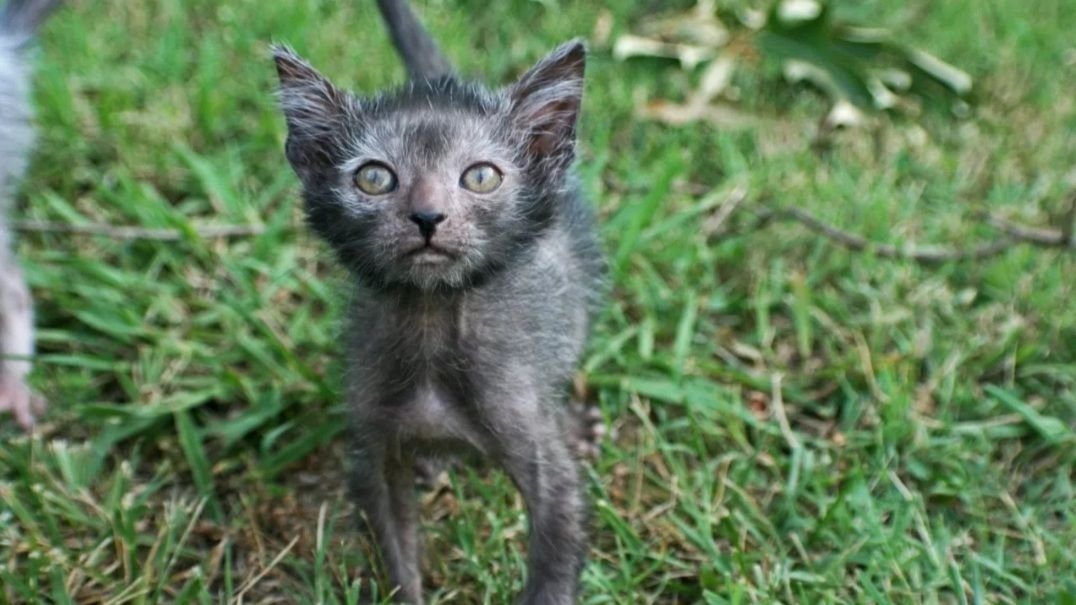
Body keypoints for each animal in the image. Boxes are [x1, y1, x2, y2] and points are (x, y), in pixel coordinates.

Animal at [269, 2, 606, 598]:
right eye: (374, 177)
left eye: (481, 176)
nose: (427, 217)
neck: (431, 325)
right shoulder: (374, 451)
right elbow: (395, 557)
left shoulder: (542, 459)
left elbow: (555, 550)